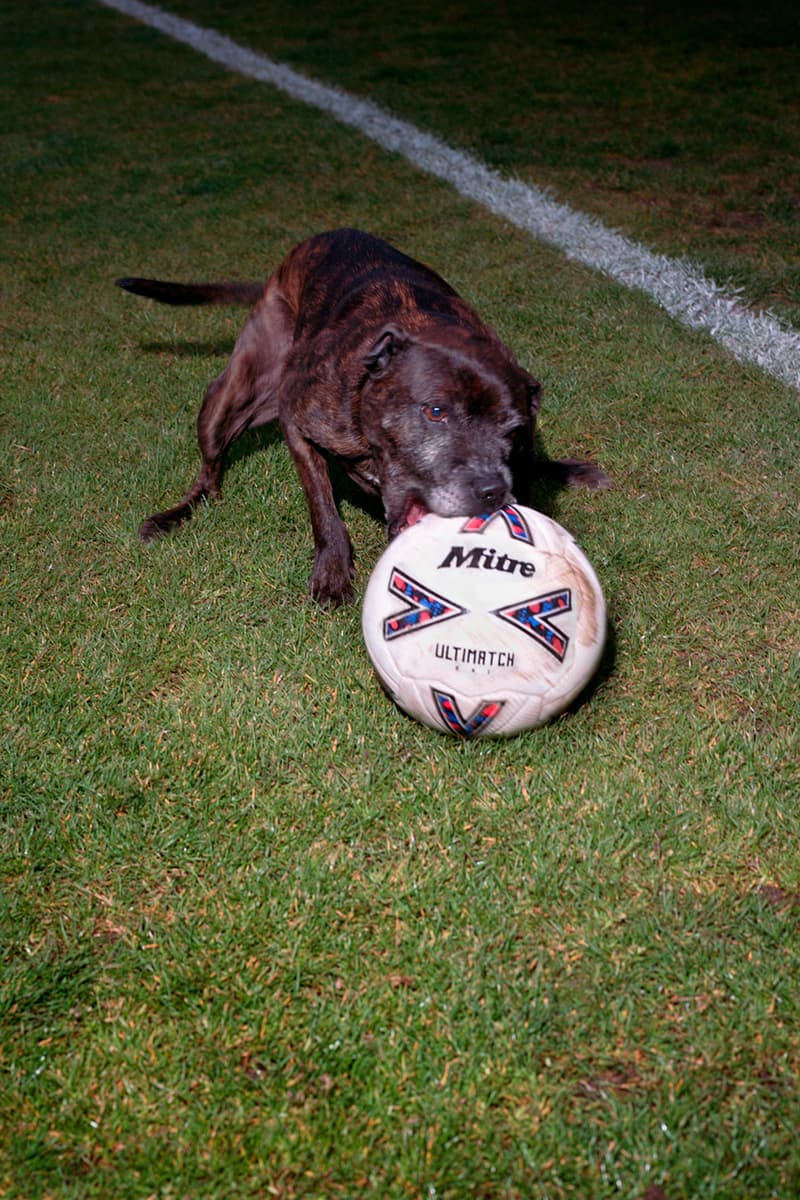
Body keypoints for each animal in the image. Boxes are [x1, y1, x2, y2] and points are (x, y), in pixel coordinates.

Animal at [115, 225, 609, 604]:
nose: (490, 491)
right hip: (237, 395)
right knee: (210, 471)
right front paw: (333, 573)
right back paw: (177, 513)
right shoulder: (299, 422)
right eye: (435, 412)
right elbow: (323, 509)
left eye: (513, 429)